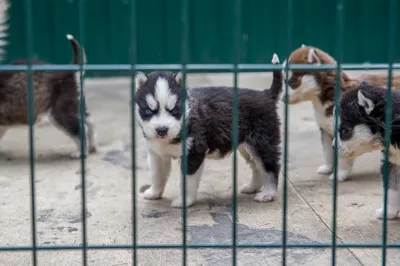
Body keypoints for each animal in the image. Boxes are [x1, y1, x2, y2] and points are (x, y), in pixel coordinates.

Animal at [135, 53, 284, 208]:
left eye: (175, 110)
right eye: (148, 111)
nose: (162, 130)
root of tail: (266, 94)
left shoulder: (194, 152)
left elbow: (187, 181)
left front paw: (184, 201)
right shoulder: (156, 154)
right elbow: (157, 175)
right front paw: (153, 193)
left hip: (262, 142)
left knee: (271, 167)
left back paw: (268, 193)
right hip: (246, 147)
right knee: (257, 167)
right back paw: (252, 187)